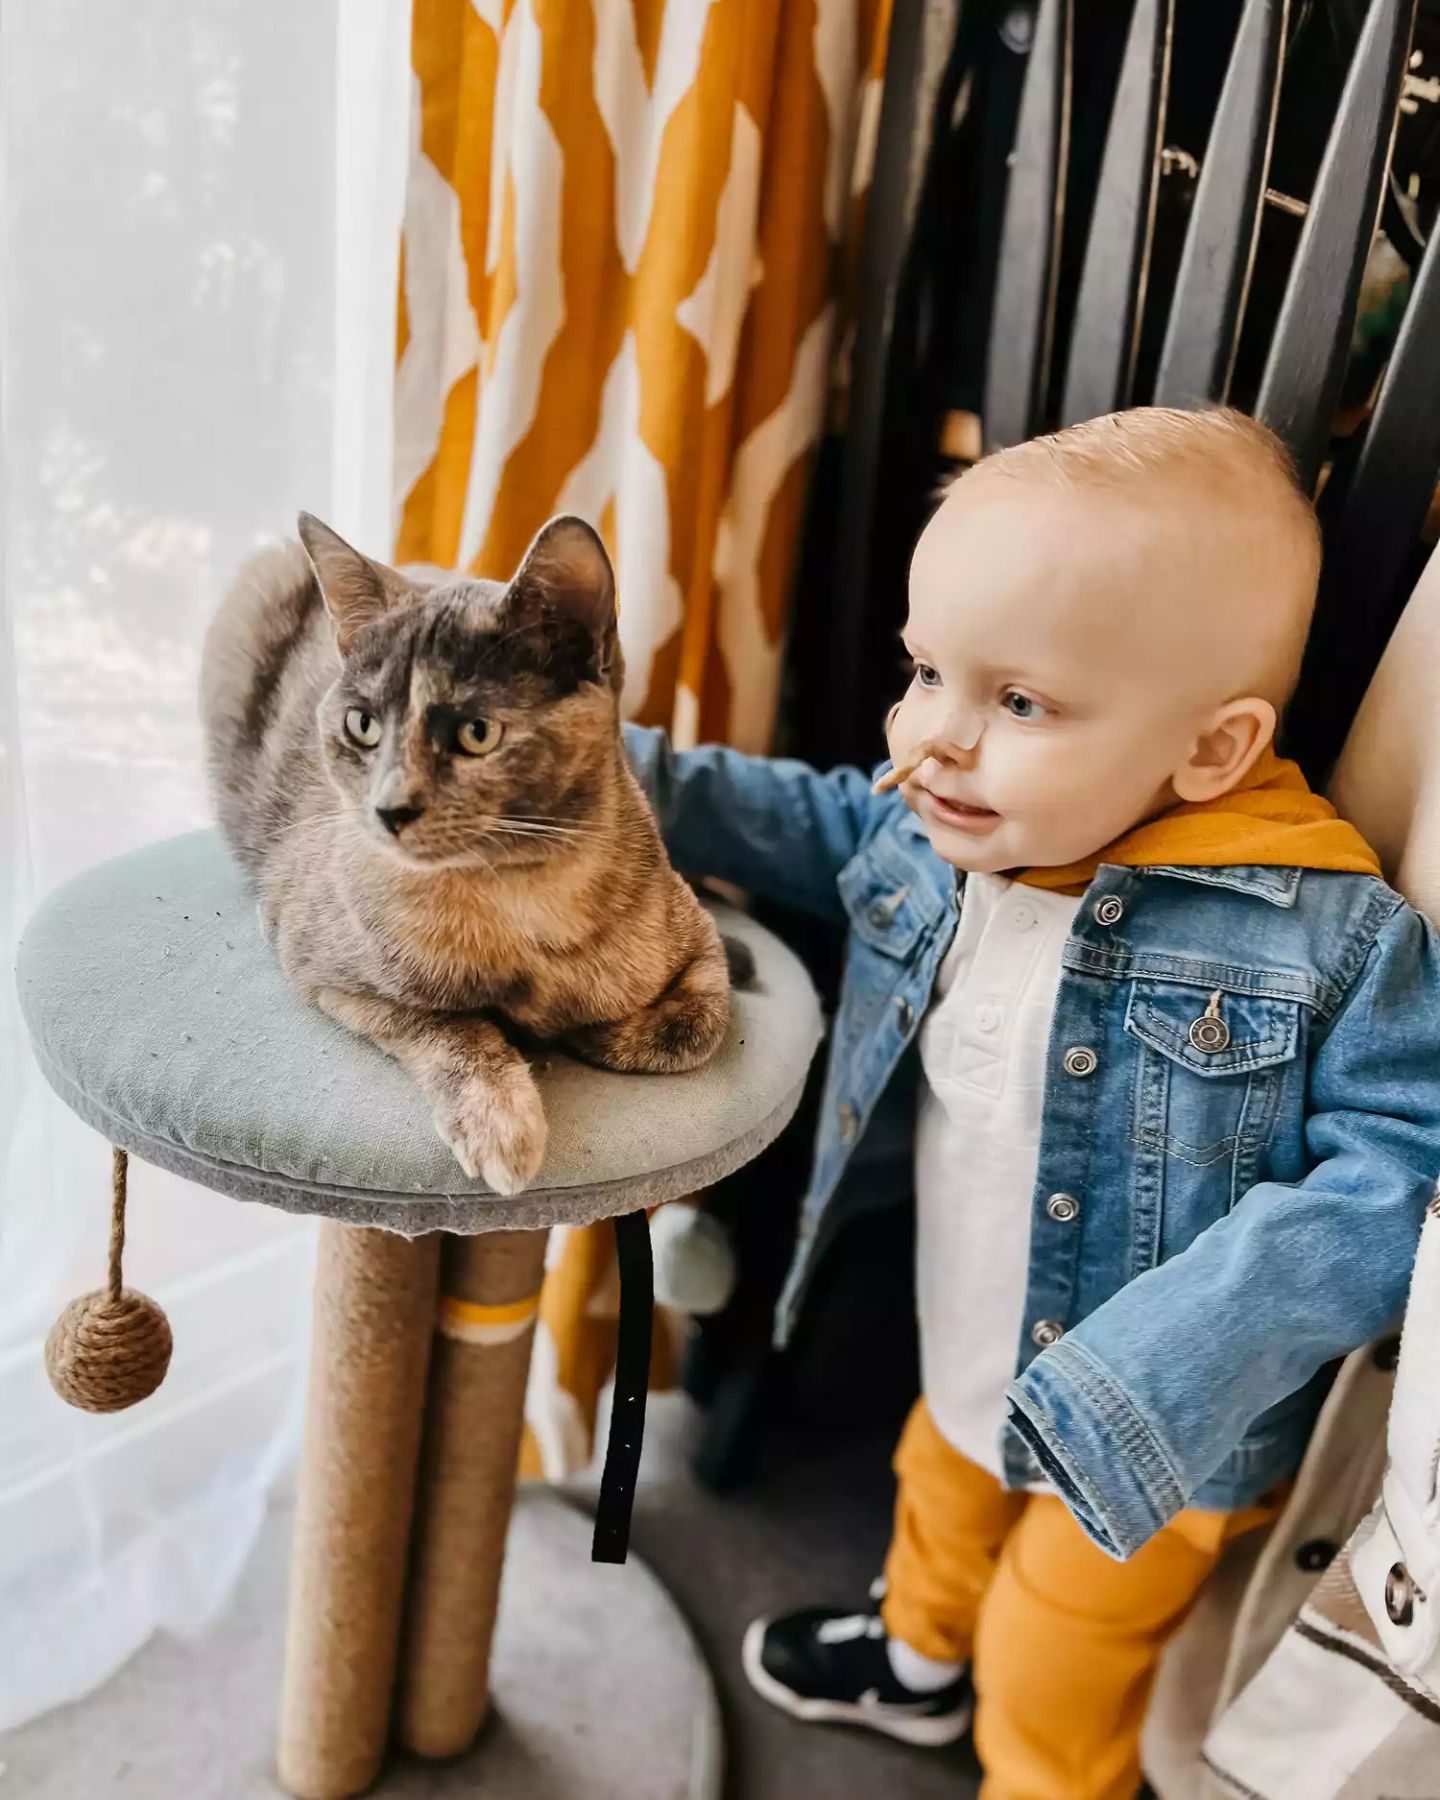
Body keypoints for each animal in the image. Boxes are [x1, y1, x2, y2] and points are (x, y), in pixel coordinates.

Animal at [202, 518, 730, 1195]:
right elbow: (445, 1023)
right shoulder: (316, 959)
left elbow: (699, 1027)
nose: (389, 808)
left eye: (476, 732)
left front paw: (596, 1033)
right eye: (362, 725)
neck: (519, 900)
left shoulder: (699, 933)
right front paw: (500, 1121)